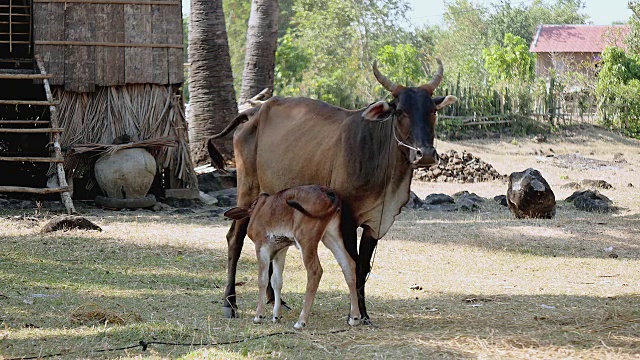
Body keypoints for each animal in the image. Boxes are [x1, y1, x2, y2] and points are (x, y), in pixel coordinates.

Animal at [224, 186, 360, 330]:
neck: (258, 209)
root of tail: (328, 193)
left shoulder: (261, 247)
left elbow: (262, 279)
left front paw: (258, 316)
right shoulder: (281, 249)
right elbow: (276, 280)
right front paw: (276, 316)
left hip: (306, 240)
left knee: (315, 271)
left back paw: (301, 321)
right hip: (330, 235)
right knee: (348, 264)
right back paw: (354, 318)